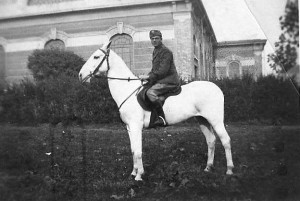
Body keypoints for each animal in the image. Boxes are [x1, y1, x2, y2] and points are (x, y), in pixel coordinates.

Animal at [78, 40, 233, 181]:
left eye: (96, 57)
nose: (80, 75)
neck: (127, 90)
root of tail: (217, 88)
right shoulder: (129, 127)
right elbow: (133, 150)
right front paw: (133, 172)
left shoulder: (136, 126)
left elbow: (138, 151)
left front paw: (139, 176)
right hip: (202, 120)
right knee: (211, 141)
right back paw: (208, 167)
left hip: (216, 120)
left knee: (225, 140)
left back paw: (229, 170)